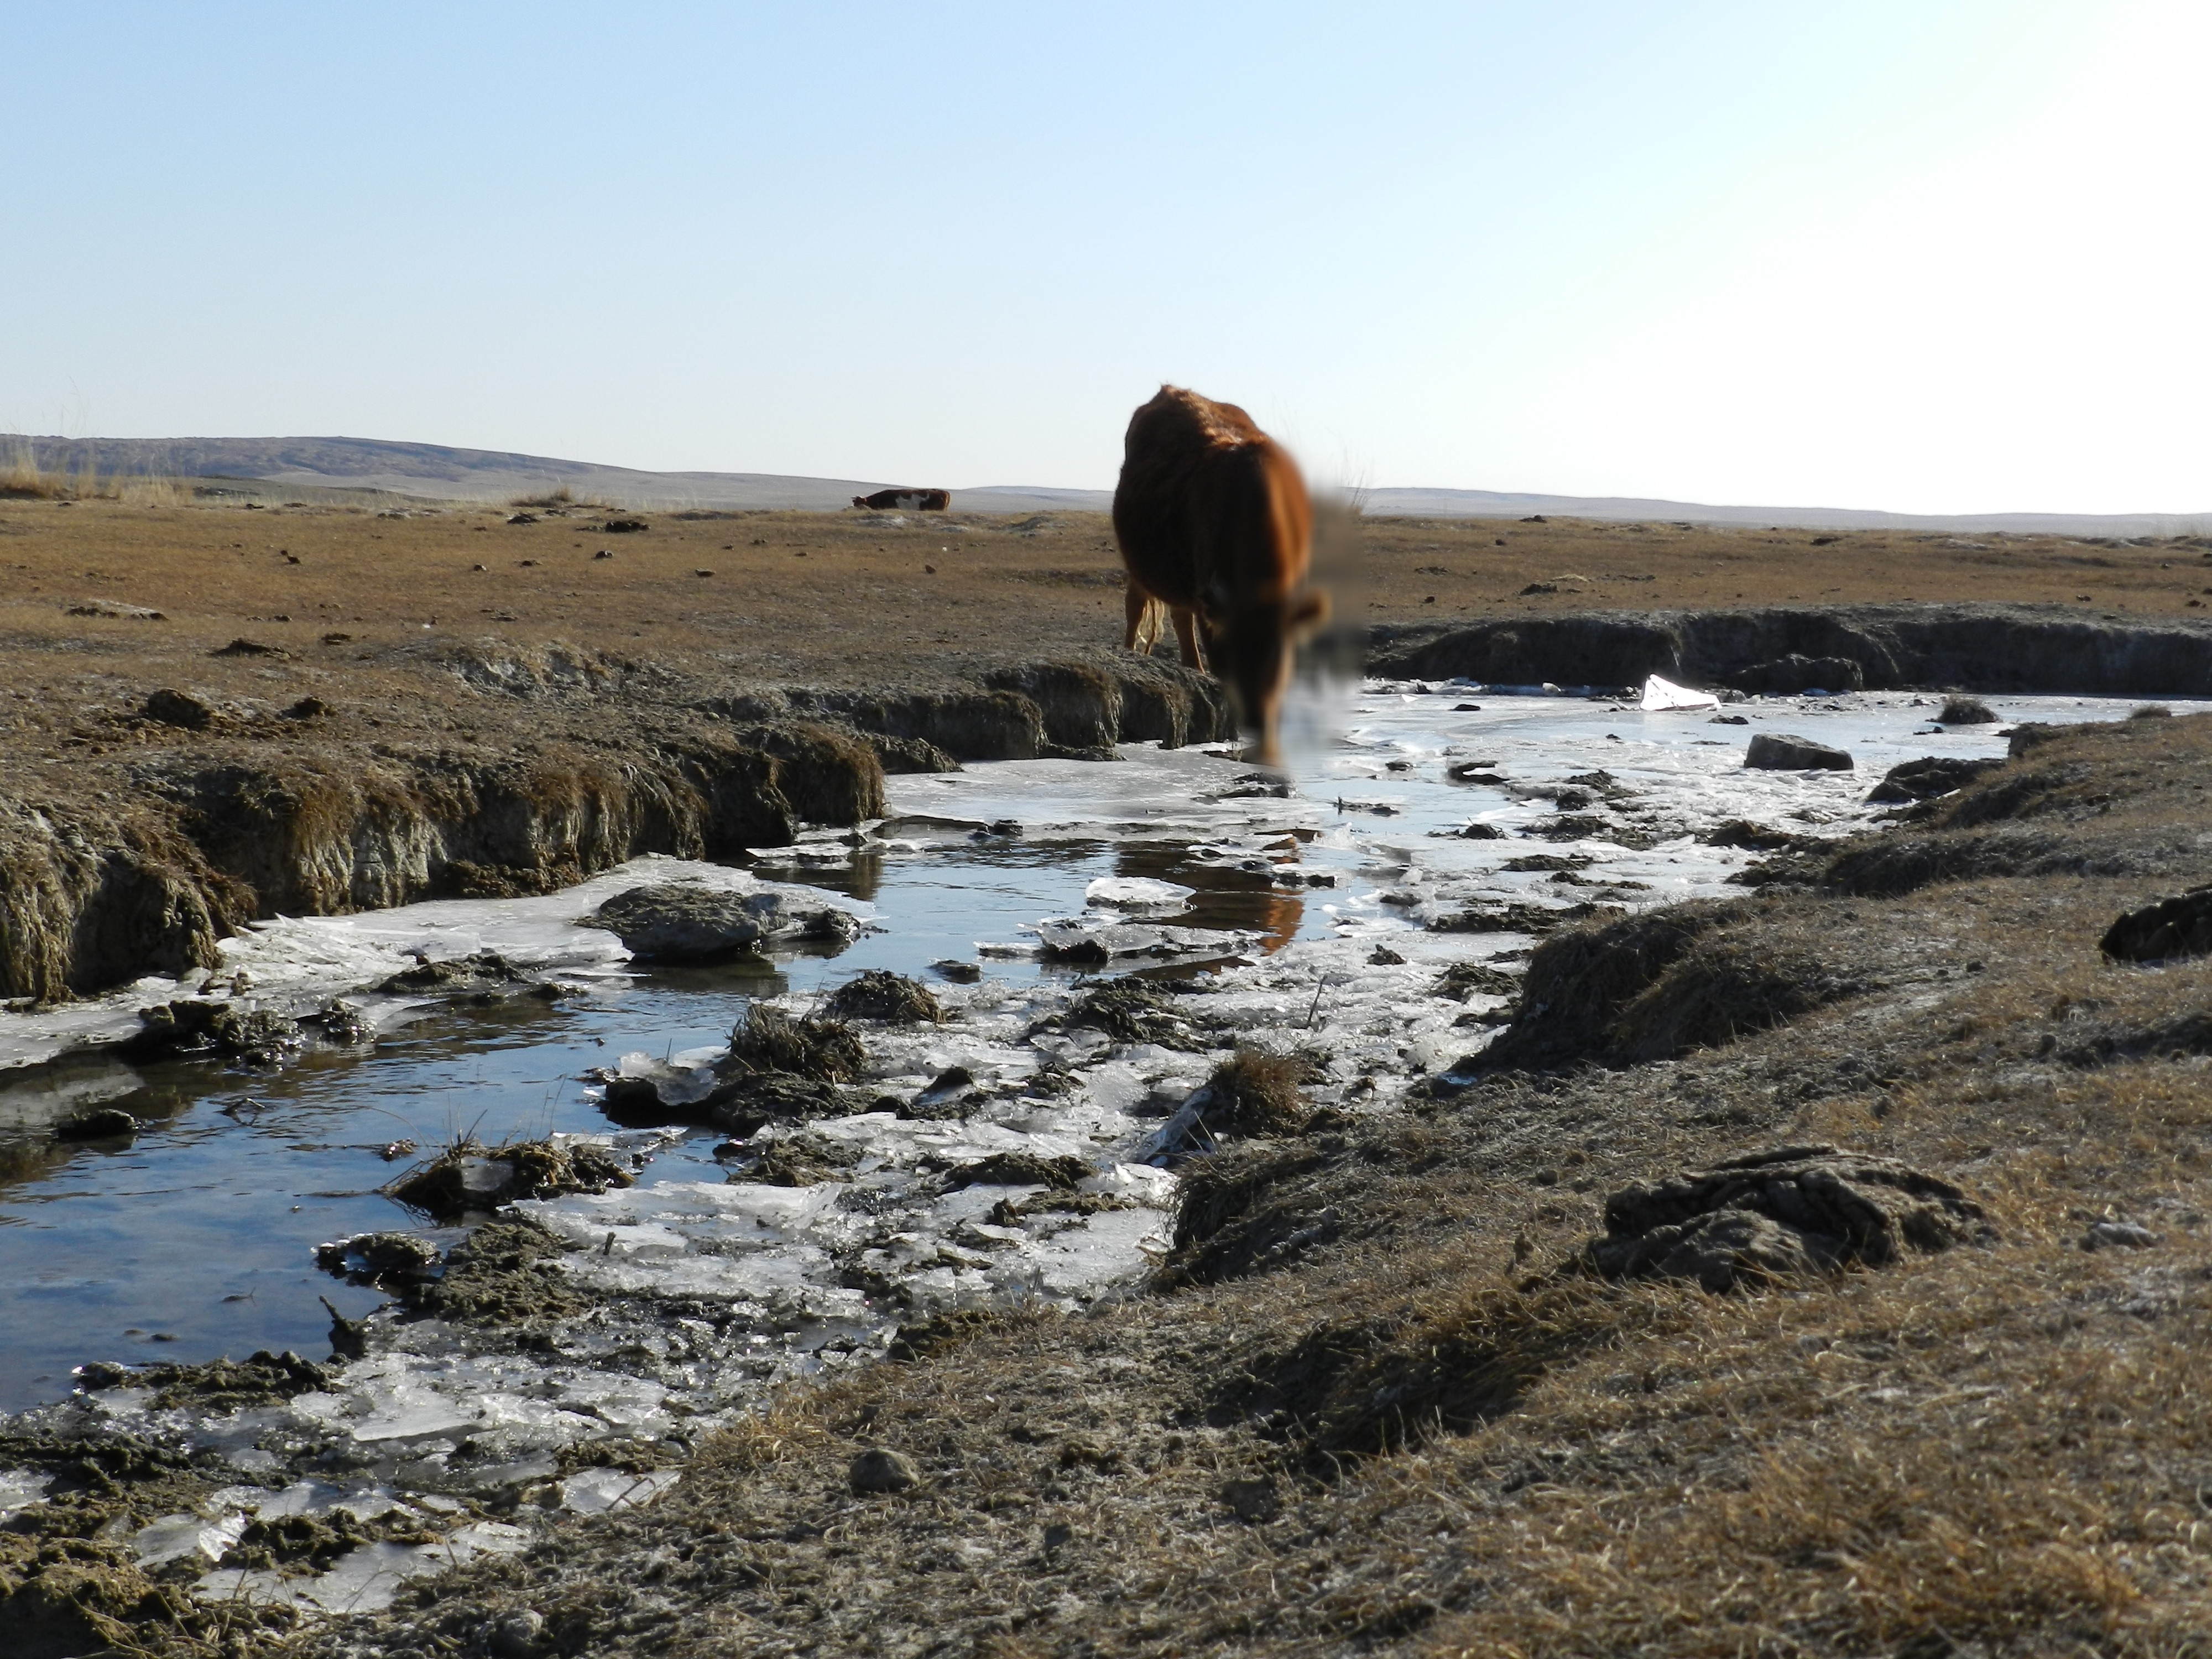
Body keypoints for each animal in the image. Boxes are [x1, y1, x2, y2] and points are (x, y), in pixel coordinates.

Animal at [1115, 385, 1318, 765]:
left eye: (1279, 656)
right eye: (1232, 655)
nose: (1255, 716)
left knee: (1180, 619)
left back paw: (1194, 670)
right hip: (1141, 567)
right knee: (1136, 607)